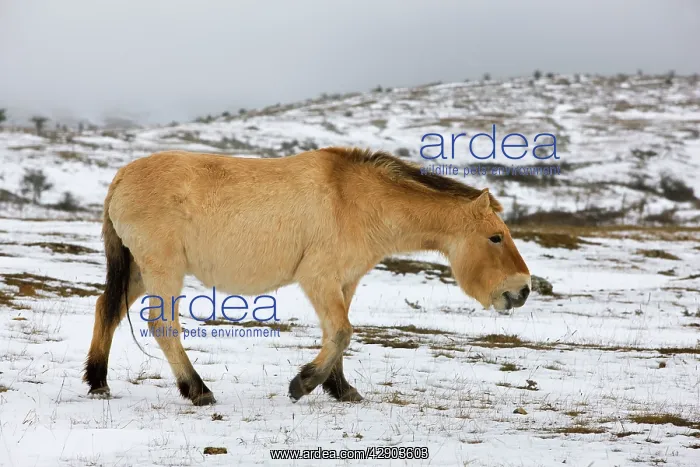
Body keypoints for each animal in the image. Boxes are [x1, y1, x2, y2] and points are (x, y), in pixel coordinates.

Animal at [84, 147, 531, 405]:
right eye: (495, 237)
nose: (523, 290)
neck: (358, 199)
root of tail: (121, 177)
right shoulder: (319, 278)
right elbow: (342, 333)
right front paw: (303, 383)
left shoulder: (344, 281)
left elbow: (337, 334)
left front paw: (341, 389)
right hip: (163, 269)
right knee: (162, 325)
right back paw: (198, 390)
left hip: (139, 271)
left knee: (107, 309)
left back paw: (98, 381)